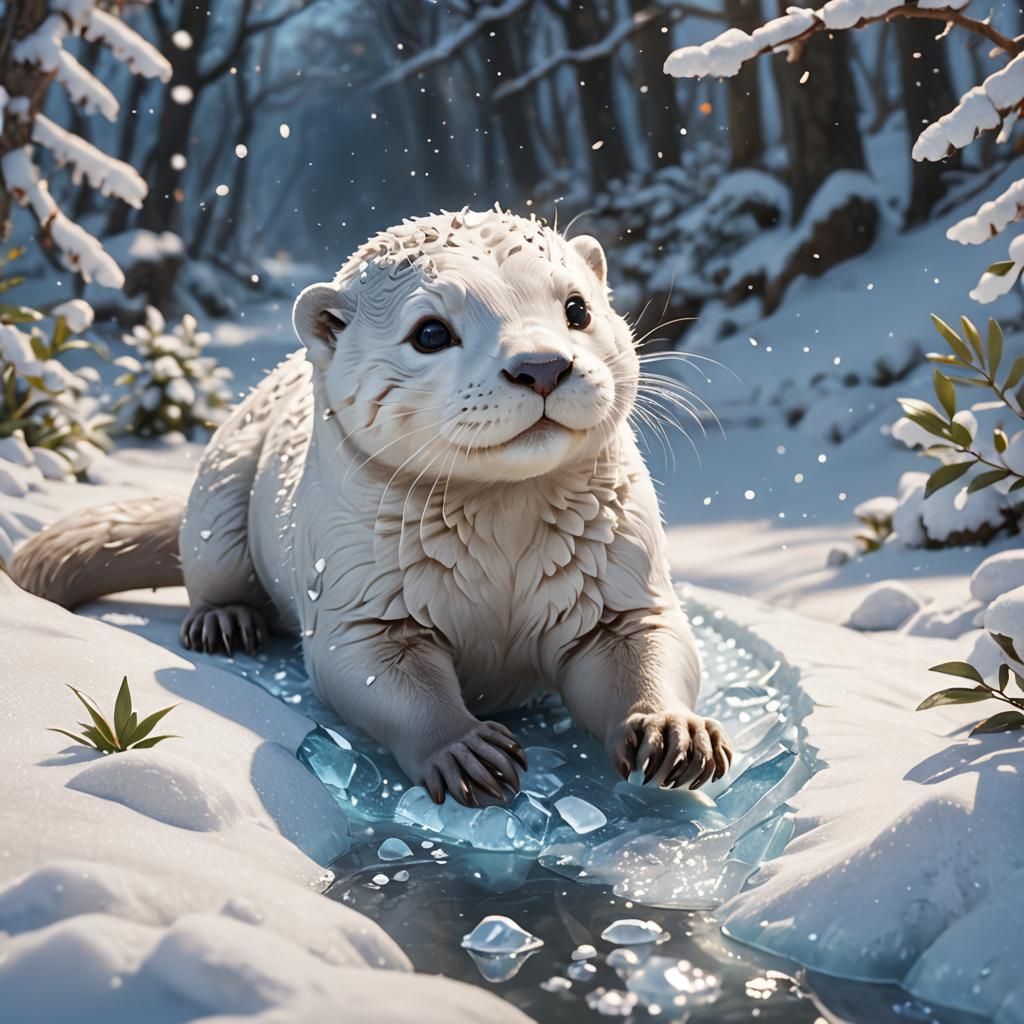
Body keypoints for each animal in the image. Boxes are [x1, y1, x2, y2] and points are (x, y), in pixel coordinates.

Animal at [12, 207, 732, 806]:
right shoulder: (357, 586)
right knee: (209, 565)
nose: (542, 366)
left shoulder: (617, 575)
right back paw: (225, 622)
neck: (504, 551)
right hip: (222, 485)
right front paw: (465, 751)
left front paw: (674, 731)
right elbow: (372, 672)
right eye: (431, 331)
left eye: (577, 308)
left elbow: (643, 641)